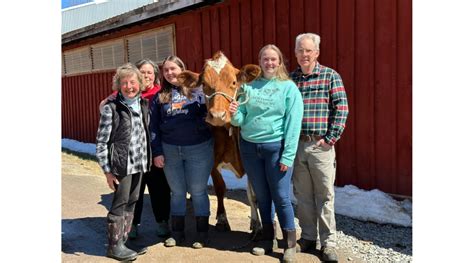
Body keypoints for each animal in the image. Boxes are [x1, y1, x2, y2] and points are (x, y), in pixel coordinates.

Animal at [178, 51, 262, 233]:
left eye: (233, 82)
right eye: (204, 83)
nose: (217, 115)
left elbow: (253, 194)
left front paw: (257, 225)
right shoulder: (211, 160)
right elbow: (220, 187)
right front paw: (222, 219)